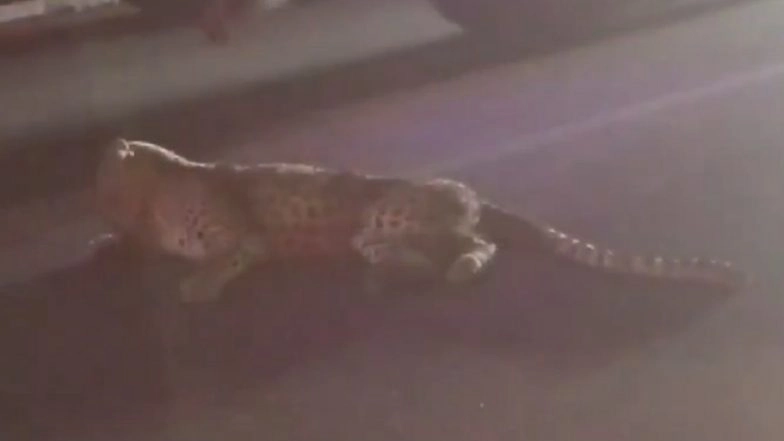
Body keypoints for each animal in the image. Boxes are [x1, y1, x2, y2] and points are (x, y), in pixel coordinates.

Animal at [93, 138, 747, 303]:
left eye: (94, 184)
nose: (89, 202)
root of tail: (475, 192)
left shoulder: (241, 238)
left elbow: (218, 259)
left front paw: (195, 286)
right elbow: (131, 246)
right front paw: (109, 245)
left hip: (385, 213)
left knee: (480, 245)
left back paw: (453, 268)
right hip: (371, 234)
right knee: (430, 256)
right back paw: (395, 277)